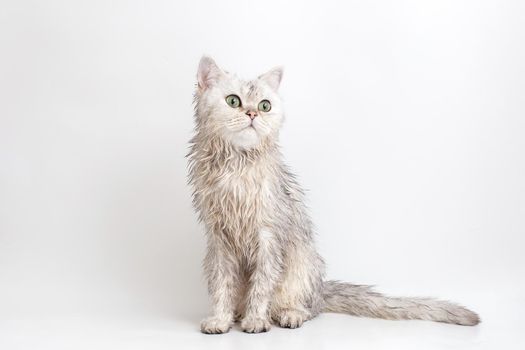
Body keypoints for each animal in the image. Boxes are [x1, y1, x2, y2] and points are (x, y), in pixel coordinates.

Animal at [188, 55, 478, 334]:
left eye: (265, 106)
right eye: (233, 101)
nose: (251, 114)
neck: (236, 167)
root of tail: (320, 291)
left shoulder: (269, 235)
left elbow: (261, 287)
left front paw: (256, 320)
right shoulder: (219, 239)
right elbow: (222, 287)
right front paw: (220, 320)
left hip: (304, 267)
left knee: (304, 307)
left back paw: (289, 315)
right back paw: (238, 315)